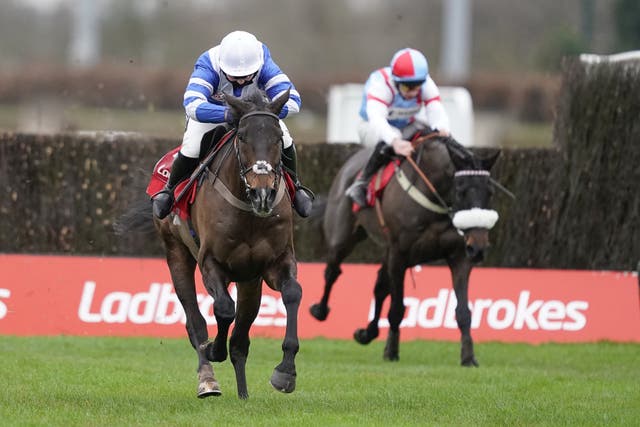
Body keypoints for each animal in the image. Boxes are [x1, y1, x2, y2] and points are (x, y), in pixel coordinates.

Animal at [154, 91, 302, 402]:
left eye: (277, 139)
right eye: (242, 137)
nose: (262, 193)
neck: (248, 210)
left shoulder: (275, 262)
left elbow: (293, 293)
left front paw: (285, 372)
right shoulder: (210, 262)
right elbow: (223, 309)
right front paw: (213, 348)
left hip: (249, 281)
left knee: (240, 339)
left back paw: (243, 394)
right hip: (176, 252)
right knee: (195, 322)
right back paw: (208, 381)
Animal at [308, 135, 500, 368]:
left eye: (490, 193)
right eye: (460, 191)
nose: (479, 247)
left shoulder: (459, 255)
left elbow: (463, 311)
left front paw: (468, 357)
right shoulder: (399, 253)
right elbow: (397, 308)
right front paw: (391, 351)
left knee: (380, 286)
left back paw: (367, 333)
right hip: (343, 236)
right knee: (333, 271)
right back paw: (320, 310)